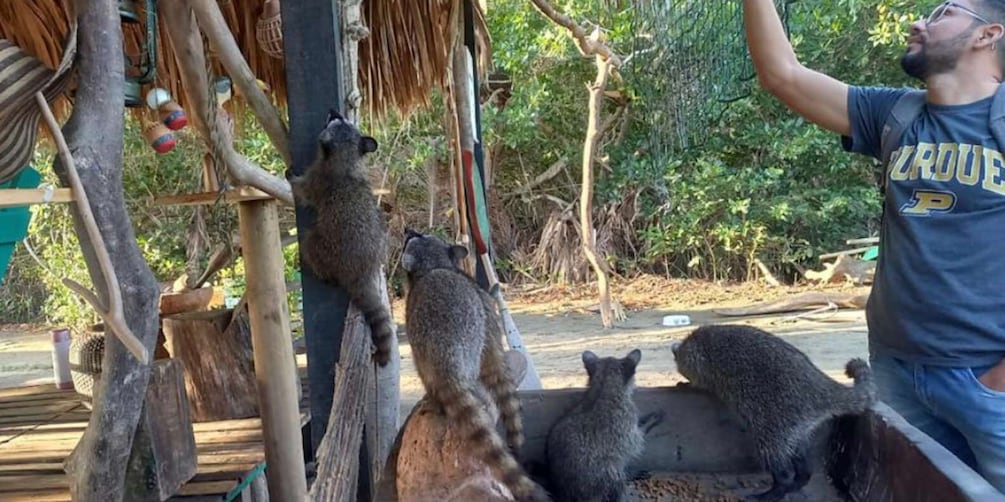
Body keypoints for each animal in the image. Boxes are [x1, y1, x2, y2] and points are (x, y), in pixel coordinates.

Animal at [289, 110, 393, 369]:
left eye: (334, 120)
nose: (332, 111)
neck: (346, 155)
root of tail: (361, 268)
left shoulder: (318, 179)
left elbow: (304, 191)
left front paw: (291, 179)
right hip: (379, 241)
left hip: (328, 247)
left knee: (310, 242)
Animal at [546, 349, 663, 501]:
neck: (602, 388)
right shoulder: (623, 422)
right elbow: (637, 439)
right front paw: (650, 421)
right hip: (602, 477)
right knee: (615, 474)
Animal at [675, 323, 880, 499]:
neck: (693, 339)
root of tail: (820, 385)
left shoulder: (699, 362)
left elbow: (701, 381)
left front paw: (688, 384)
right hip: (799, 424)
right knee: (798, 452)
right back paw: (802, 476)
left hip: (778, 417)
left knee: (772, 453)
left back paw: (779, 487)